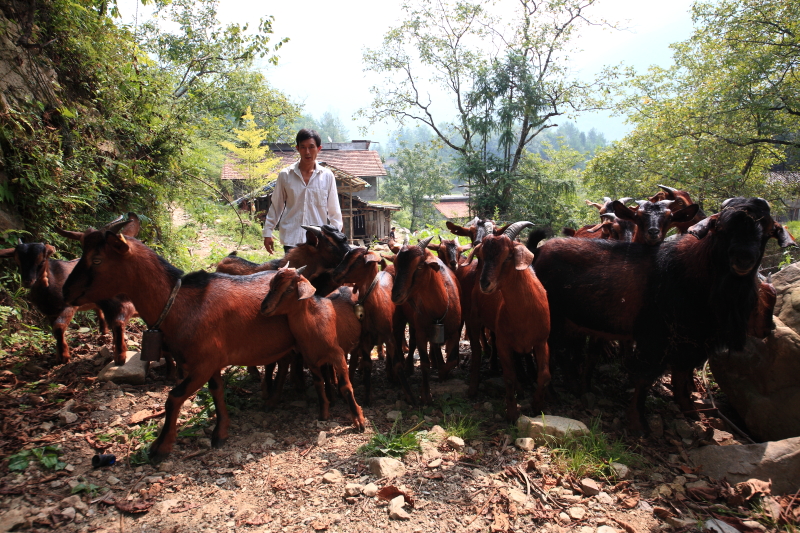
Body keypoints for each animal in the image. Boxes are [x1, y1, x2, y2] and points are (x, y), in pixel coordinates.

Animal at [260, 266, 366, 428]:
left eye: (289, 289)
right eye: (271, 284)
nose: (263, 307)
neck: (315, 322)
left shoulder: (337, 355)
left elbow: (346, 386)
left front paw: (359, 420)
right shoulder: (311, 360)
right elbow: (318, 385)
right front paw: (324, 414)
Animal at [468, 221, 552, 420]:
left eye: (508, 257)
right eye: (481, 255)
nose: (485, 284)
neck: (525, 313)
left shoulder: (541, 341)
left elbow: (544, 375)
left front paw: (537, 406)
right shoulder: (504, 343)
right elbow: (508, 377)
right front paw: (512, 414)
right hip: (474, 319)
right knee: (476, 352)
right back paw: (473, 388)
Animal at [532, 196, 792, 432]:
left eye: (768, 231)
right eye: (720, 228)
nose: (744, 258)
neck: (690, 273)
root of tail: (539, 251)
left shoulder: (690, 340)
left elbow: (681, 374)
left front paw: (689, 410)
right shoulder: (655, 337)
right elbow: (646, 378)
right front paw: (639, 424)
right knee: (549, 352)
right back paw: (554, 393)